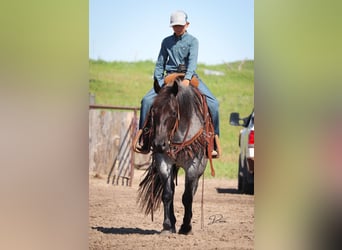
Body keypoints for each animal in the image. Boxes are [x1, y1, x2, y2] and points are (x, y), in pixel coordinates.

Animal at [136, 74, 214, 234]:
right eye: (153, 111)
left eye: (173, 112)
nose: (159, 144)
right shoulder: (163, 161)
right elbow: (167, 194)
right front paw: (167, 226)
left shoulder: (193, 166)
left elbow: (187, 197)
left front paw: (186, 227)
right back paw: (172, 223)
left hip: (199, 170)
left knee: (193, 191)